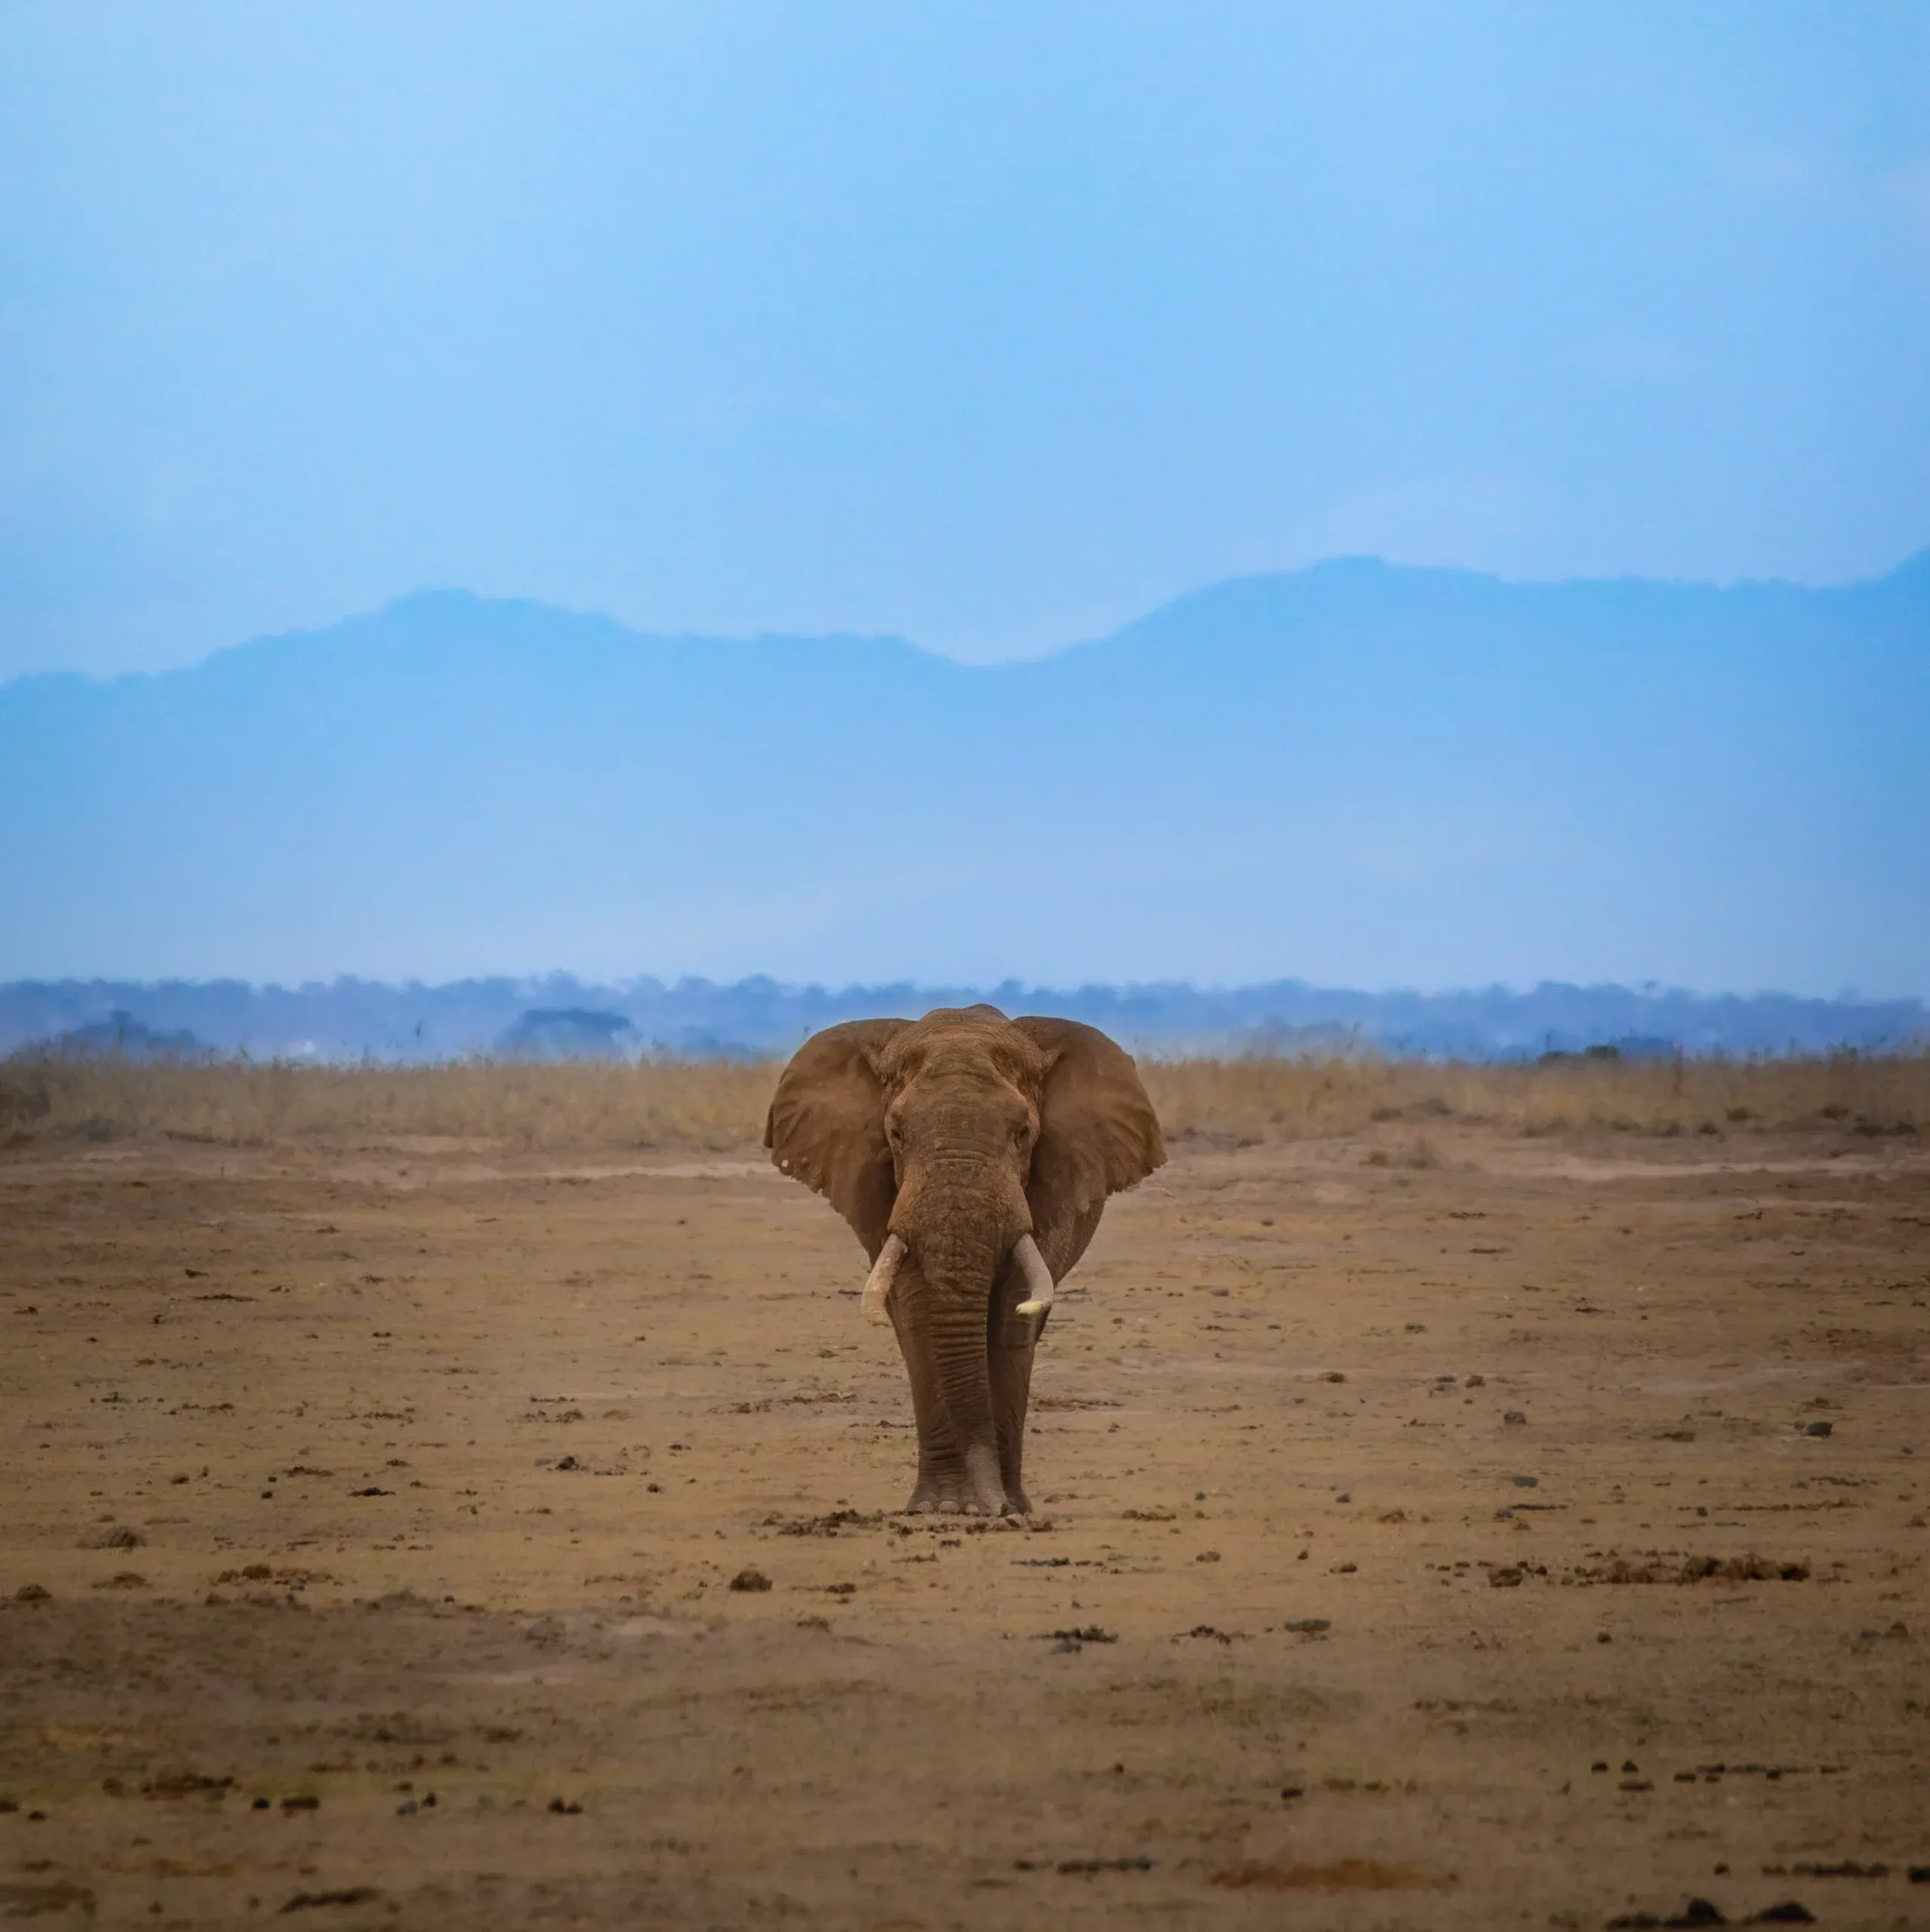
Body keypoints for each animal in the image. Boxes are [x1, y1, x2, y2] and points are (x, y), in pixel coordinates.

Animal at [764, 1004, 1165, 1516]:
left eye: (1023, 1134)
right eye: (896, 1134)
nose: (994, 1509)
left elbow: (1014, 1311)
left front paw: (1003, 1507)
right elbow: (917, 1312)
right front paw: (944, 1508)